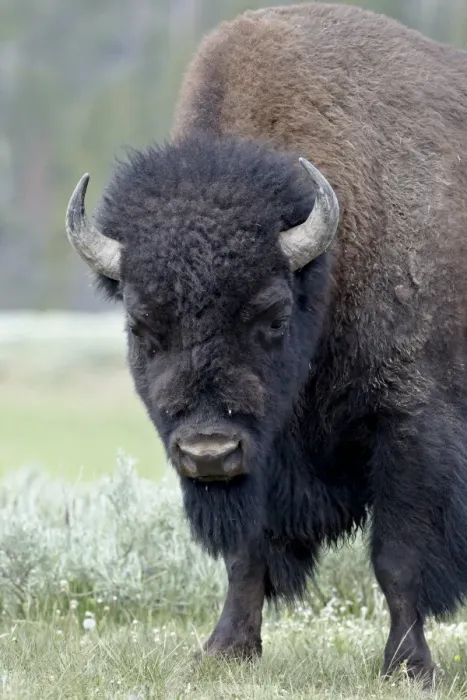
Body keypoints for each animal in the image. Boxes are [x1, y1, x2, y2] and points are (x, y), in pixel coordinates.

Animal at [65, 1, 467, 685]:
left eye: (273, 314)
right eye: (141, 325)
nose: (208, 450)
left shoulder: (411, 426)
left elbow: (397, 557)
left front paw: (409, 666)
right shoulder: (261, 454)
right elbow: (246, 554)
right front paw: (225, 649)